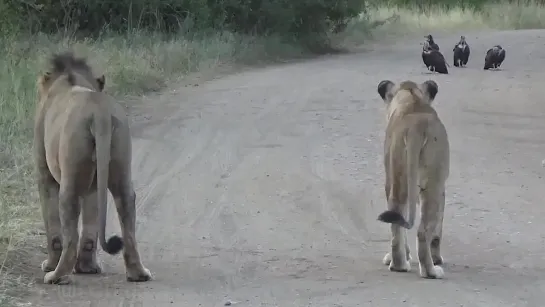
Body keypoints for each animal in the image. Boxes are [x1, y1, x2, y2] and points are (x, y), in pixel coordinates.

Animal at [33, 51, 152, 286]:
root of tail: (99, 113)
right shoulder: (93, 184)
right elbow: (91, 221)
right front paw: (87, 268)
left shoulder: (44, 174)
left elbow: (52, 226)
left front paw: (50, 264)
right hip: (119, 168)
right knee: (127, 212)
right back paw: (138, 273)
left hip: (70, 180)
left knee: (69, 234)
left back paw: (56, 275)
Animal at [376, 80, 448, 282]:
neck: (411, 100)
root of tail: (416, 128)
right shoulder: (441, 187)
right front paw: (437, 258)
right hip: (433, 183)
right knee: (423, 231)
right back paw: (432, 271)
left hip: (398, 179)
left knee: (396, 220)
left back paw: (398, 264)